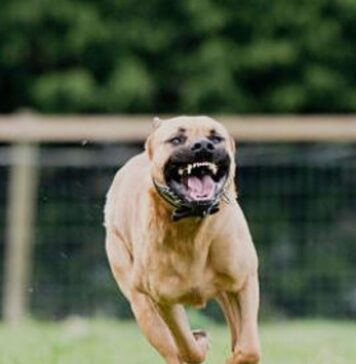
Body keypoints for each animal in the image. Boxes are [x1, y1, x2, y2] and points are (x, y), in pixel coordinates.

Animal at [104, 115, 260, 362]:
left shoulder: (244, 281)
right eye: (176, 139)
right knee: (171, 350)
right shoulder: (164, 300)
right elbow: (186, 348)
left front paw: (235, 356)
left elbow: (249, 348)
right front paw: (200, 344)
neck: (192, 223)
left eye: (216, 137)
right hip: (142, 306)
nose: (204, 146)